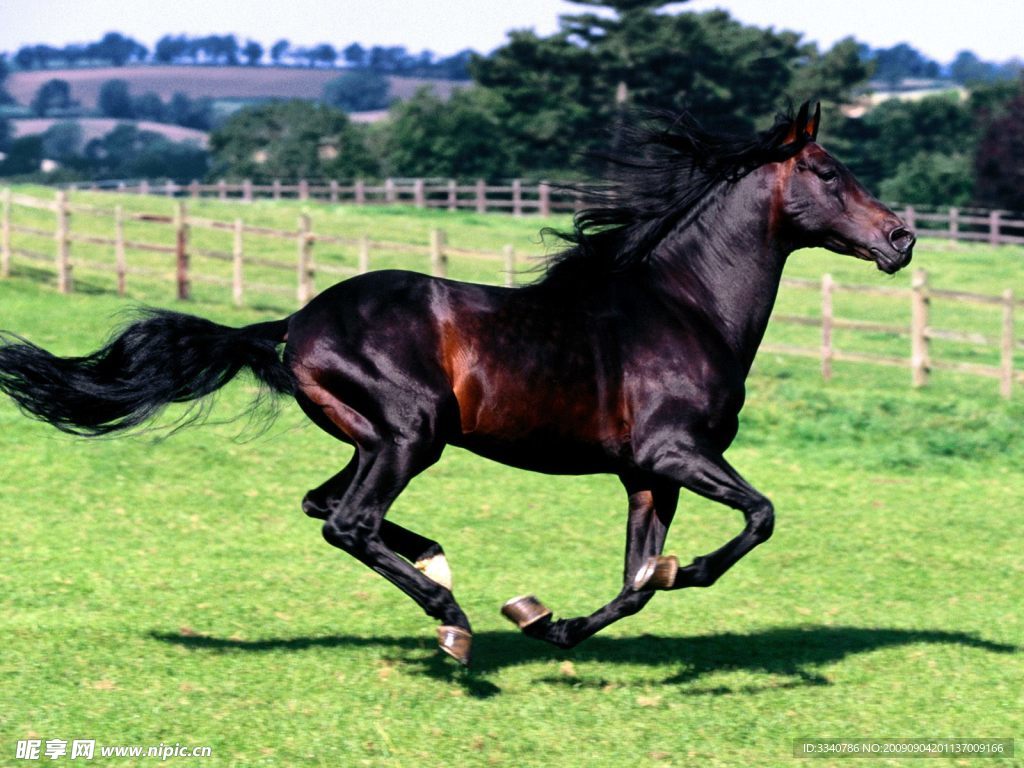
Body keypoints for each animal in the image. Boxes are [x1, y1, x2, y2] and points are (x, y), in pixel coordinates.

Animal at [0, 103, 913, 667]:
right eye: (829, 173)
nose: (901, 239)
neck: (685, 308)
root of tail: (294, 323)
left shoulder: (646, 475)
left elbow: (632, 583)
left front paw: (552, 621)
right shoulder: (674, 453)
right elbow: (756, 519)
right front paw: (675, 575)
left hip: (376, 438)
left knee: (325, 507)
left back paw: (443, 573)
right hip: (411, 433)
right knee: (350, 522)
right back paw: (452, 621)